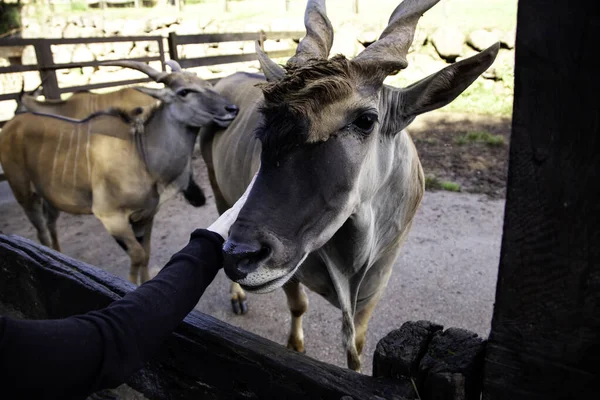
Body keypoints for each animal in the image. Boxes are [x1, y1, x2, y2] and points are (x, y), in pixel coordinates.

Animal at [0, 59, 239, 284]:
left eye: (207, 84)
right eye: (184, 92)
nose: (232, 109)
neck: (140, 153)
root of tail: (10, 125)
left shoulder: (146, 216)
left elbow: (146, 254)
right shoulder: (111, 217)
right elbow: (137, 255)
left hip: (50, 196)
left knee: (51, 224)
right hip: (25, 195)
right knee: (41, 231)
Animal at [199, 0, 500, 370]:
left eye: (366, 120)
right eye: (265, 121)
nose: (238, 256)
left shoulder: (376, 284)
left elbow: (356, 342)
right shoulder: (291, 272)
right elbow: (298, 307)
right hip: (218, 191)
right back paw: (237, 297)